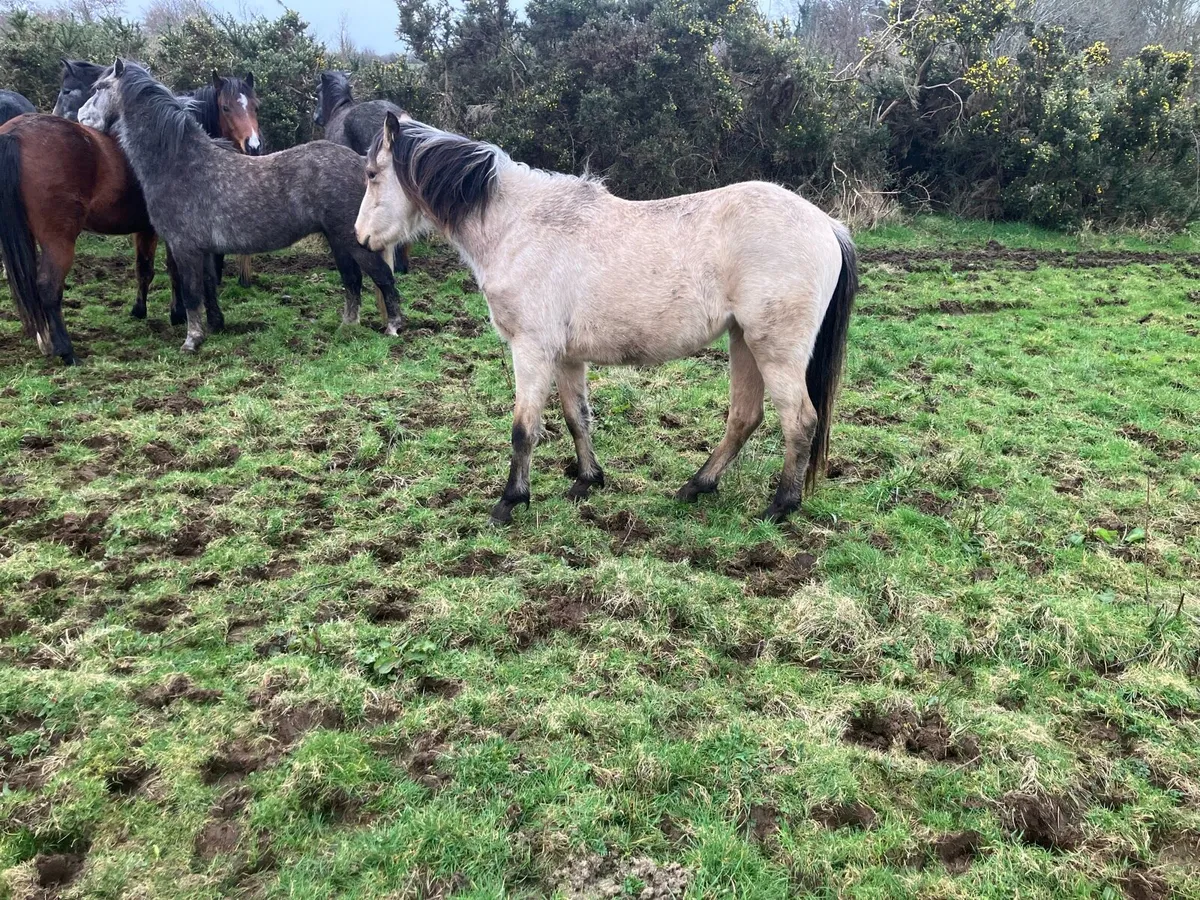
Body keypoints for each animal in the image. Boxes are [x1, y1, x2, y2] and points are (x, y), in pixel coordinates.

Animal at [0, 114, 159, 364]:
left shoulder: (145, 230)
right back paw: (66, 351)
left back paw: (45, 341)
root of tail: (14, 133)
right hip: (58, 242)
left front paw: (139, 311)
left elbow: (143, 270)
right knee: (48, 287)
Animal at [356, 113, 858, 525]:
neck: (518, 226)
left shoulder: (531, 349)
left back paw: (780, 506)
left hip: (774, 349)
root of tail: (828, 226)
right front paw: (587, 480)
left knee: (800, 421)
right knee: (744, 418)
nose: (360, 238)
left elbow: (523, 429)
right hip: (743, 341)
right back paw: (696, 486)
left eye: (372, 174)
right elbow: (576, 416)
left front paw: (510, 501)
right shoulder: (565, 357)